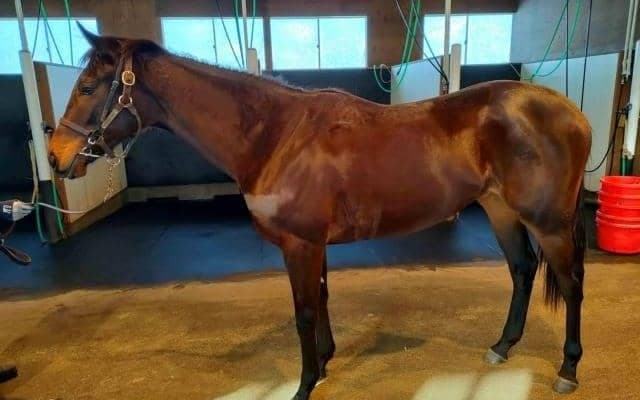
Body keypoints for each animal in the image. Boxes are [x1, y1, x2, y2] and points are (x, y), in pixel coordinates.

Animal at [48, 26, 591, 400]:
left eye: (89, 87)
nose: (54, 157)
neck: (275, 134)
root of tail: (573, 113)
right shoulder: (315, 244)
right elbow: (324, 299)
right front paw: (327, 362)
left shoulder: (300, 244)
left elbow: (305, 311)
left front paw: (306, 382)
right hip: (501, 211)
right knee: (522, 271)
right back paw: (502, 346)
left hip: (549, 222)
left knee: (570, 285)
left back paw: (567, 370)